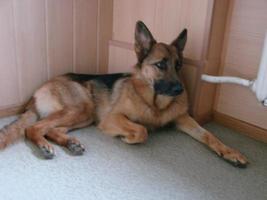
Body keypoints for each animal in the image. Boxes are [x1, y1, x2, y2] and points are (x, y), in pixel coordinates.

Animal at [0, 20, 249, 167]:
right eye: (161, 64)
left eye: (178, 65)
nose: (180, 90)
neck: (155, 104)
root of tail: (36, 92)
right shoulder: (113, 118)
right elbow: (142, 130)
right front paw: (129, 137)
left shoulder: (184, 119)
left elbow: (209, 135)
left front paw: (230, 151)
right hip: (82, 108)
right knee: (34, 128)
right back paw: (44, 145)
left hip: (84, 116)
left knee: (52, 129)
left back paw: (70, 142)